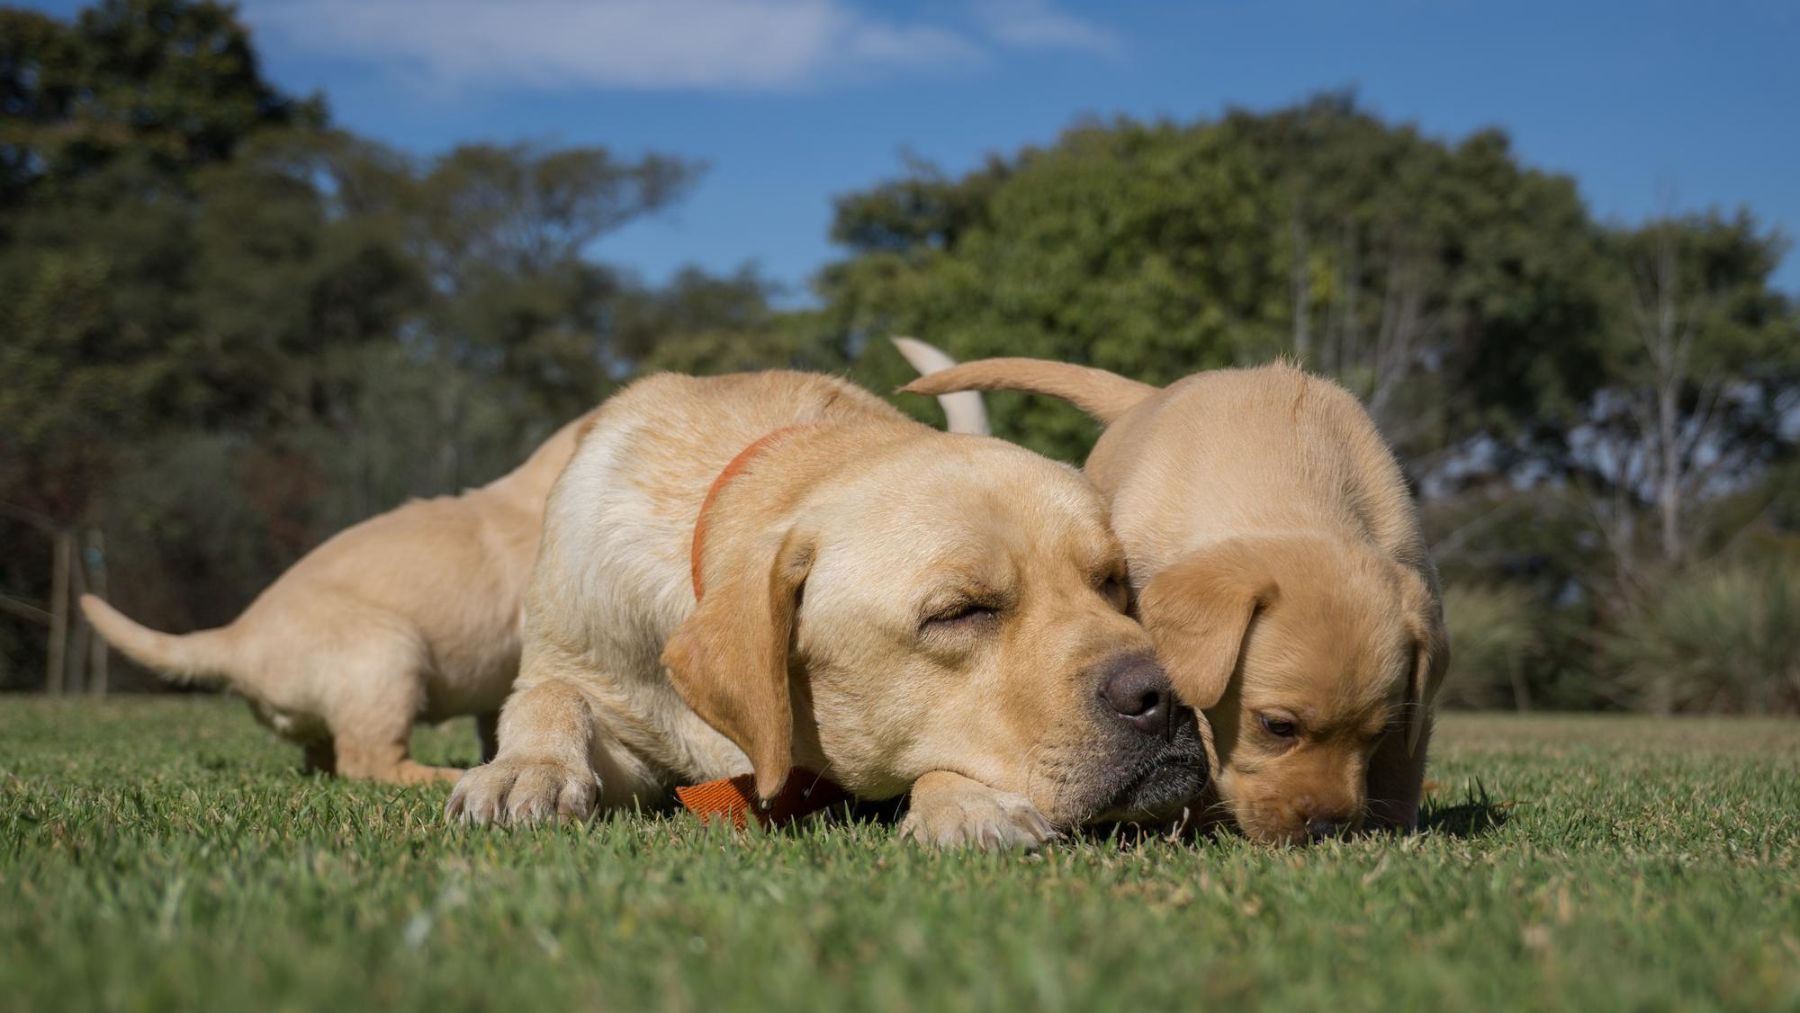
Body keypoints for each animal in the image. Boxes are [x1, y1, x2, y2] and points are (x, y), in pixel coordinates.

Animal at [446, 372, 1209, 849]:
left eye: (1111, 581)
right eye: (959, 612)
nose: (1166, 694)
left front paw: (966, 799)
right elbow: (550, 696)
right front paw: (529, 768)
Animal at [914, 356, 1447, 849]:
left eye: (1377, 734)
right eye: (1277, 727)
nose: (1326, 830)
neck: (1295, 483)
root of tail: (1149, 395)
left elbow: (1404, 759)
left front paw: (1387, 830)